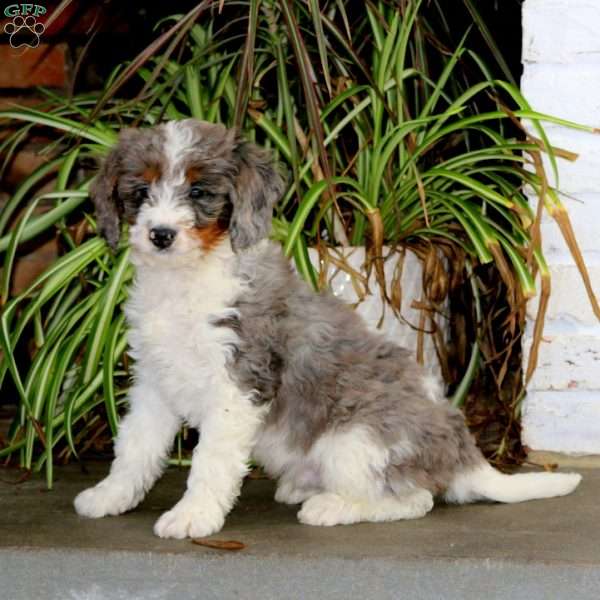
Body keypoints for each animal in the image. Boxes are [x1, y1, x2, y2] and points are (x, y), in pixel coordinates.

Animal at [72, 118, 580, 540]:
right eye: (141, 191)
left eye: (198, 192)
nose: (160, 235)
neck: (185, 280)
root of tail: (462, 453)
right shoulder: (154, 382)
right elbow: (135, 447)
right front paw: (109, 496)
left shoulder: (238, 382)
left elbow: (209, 462)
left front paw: (192, 516)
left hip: (353, 438)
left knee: (412, 500)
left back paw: (331, 507)